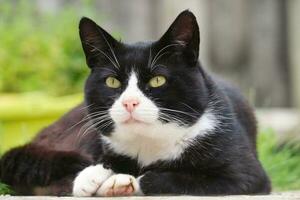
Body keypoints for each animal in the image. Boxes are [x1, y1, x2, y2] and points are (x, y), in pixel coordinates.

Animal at [0, 10, 270, 196]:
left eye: (158, 79)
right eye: (111, 81)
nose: (130, 102)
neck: (152, 142)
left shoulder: (244, 175)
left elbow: (159, 178)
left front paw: (119, 181)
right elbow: (110, 160)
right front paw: (93, 175)